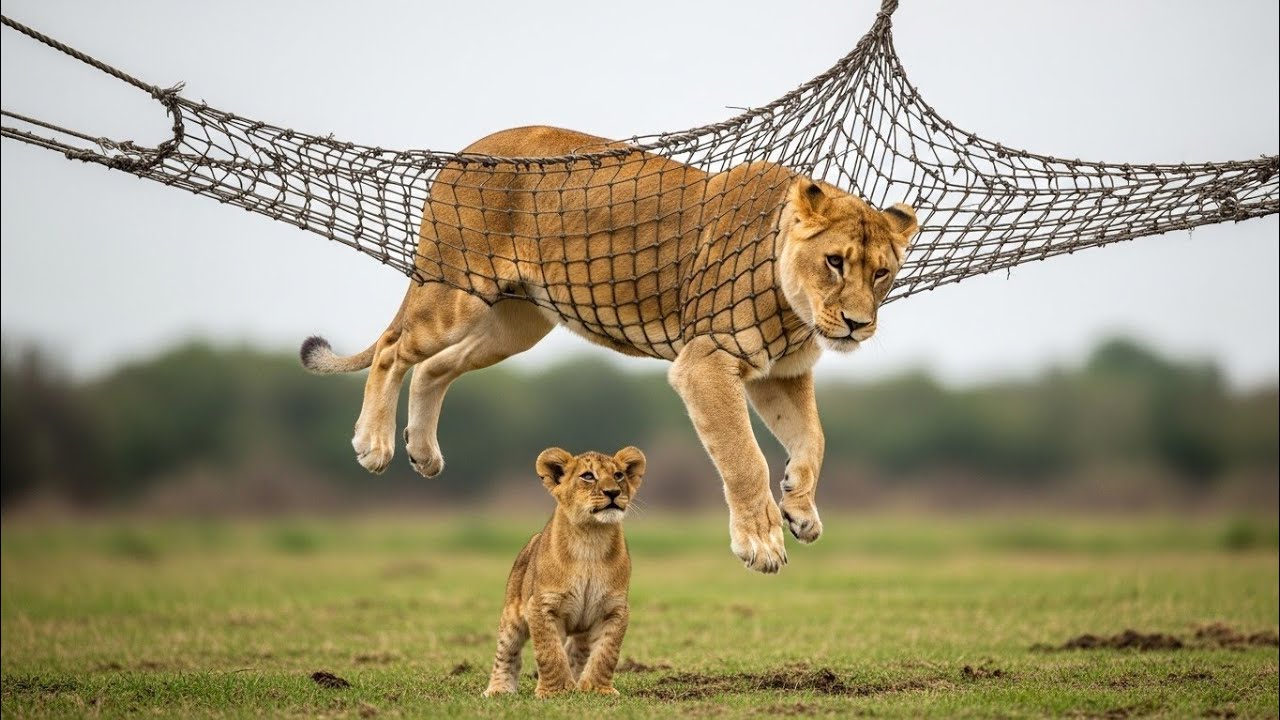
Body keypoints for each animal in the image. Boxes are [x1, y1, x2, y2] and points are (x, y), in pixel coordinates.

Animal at [301, 126, 919, 574]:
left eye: (881, 272)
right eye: (835, 262)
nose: (859, 325)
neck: (795, 308)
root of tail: (462, 155)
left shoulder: (777, 375)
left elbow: (813, 440)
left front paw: (799, 506)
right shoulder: (706, 360)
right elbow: (744, 457)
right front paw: (762, 542)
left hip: (515, 325)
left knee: (434, 367)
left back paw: (423, 452)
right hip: (455, 296)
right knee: (392, 348)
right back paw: (375, 444)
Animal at [482, 446, 645, 699]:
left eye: (618, 475)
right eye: (588, 476)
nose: (613, 492)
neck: (591, 539)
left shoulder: (614, 609)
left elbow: (606, 653)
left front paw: (598, 689)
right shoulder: (541, 606)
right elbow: (550, 651)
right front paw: (555, 691)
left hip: (584, 627)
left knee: (576, 651)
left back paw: (577, 682)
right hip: (512, 614)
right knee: (507, 653)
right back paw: (499, 688)